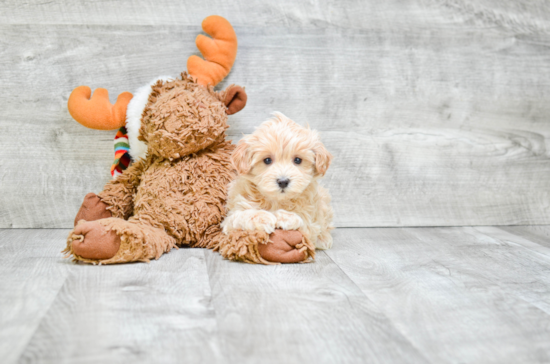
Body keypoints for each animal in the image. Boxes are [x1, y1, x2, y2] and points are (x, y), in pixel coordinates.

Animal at [221, 111, 334, 250]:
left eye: (297, 160)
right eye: (267, 160)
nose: (283, 181)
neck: (276, 200)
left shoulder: (311, 222)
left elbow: (304, 223)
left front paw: (286, 217)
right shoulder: (231, 217)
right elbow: (242, 215)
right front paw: (263, 218)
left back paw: (324, 238)